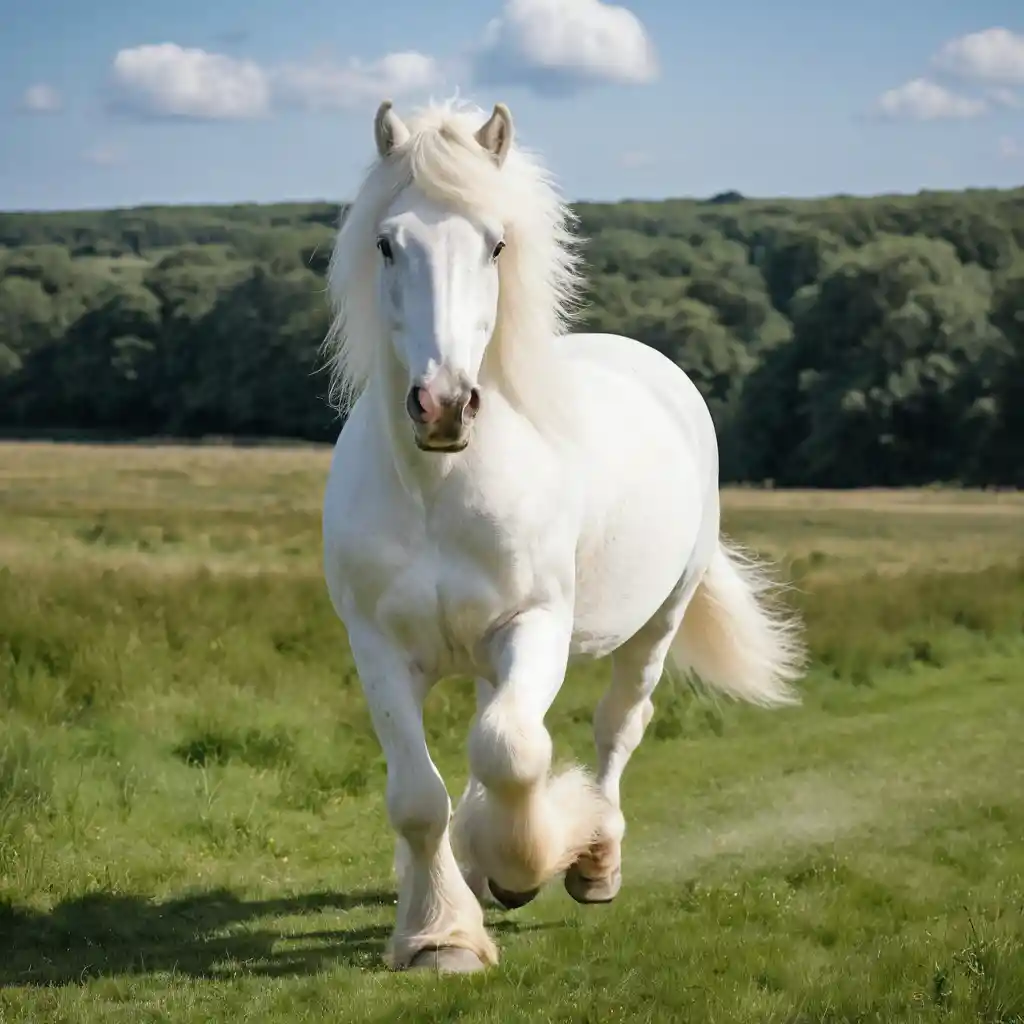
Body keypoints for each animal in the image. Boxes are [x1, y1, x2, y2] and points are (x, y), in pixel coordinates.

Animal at [320, 97, 806, 974]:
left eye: (495, 243)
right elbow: (418, 796)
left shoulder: (535, 625)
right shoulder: (377, 645)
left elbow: (515, 749)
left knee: (617, 726)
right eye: (386, 243)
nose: (444, 405)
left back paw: (594, 861)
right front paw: (438, 934)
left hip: (657, 621)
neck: (440, 489)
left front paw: (528, 864)